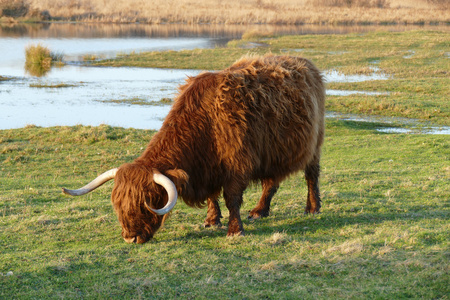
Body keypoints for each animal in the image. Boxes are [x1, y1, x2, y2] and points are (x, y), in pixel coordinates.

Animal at [62, 54, 324, 244]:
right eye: (118, 203)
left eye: (147, 201)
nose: (130, 238)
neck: (204, 122)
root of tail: (306, 63)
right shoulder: (207, 167)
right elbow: (212, 196)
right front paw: (211, 220)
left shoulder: (237, 164)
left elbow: (232, 198)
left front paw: (234, 230)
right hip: (273, 152)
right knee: (271, 182)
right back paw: (260, 211)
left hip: (315, 143)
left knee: (311, 175)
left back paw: (312, 208)